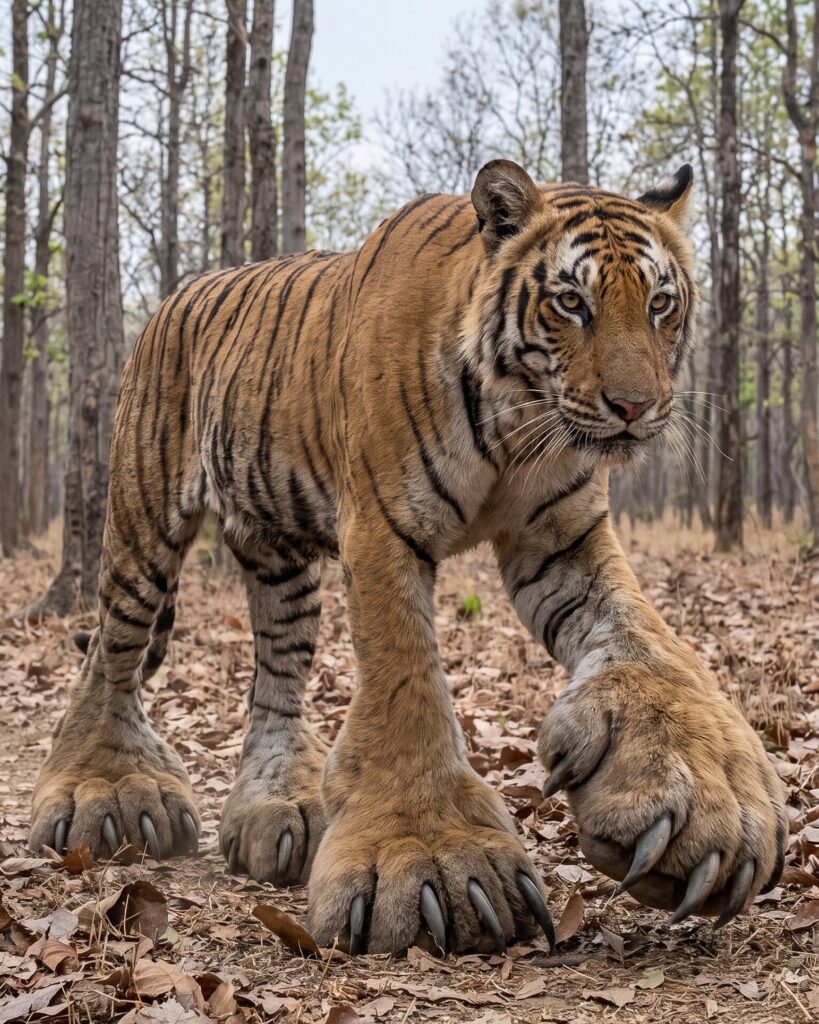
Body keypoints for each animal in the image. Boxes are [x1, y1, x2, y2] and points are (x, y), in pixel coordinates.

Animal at [30, 159, 786, 956]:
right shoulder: (382, 524)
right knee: (112, 648)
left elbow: (647, 636)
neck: (517, 422)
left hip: (279, 557)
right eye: (571, 302)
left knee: (276, 676)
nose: (636, 407)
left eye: (660, 304)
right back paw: (105, 791)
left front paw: (710, 800)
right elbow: (405, 676)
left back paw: (282, 807)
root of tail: (176, 294)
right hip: (143, 512)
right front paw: (432, 860)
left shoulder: (561, 536)